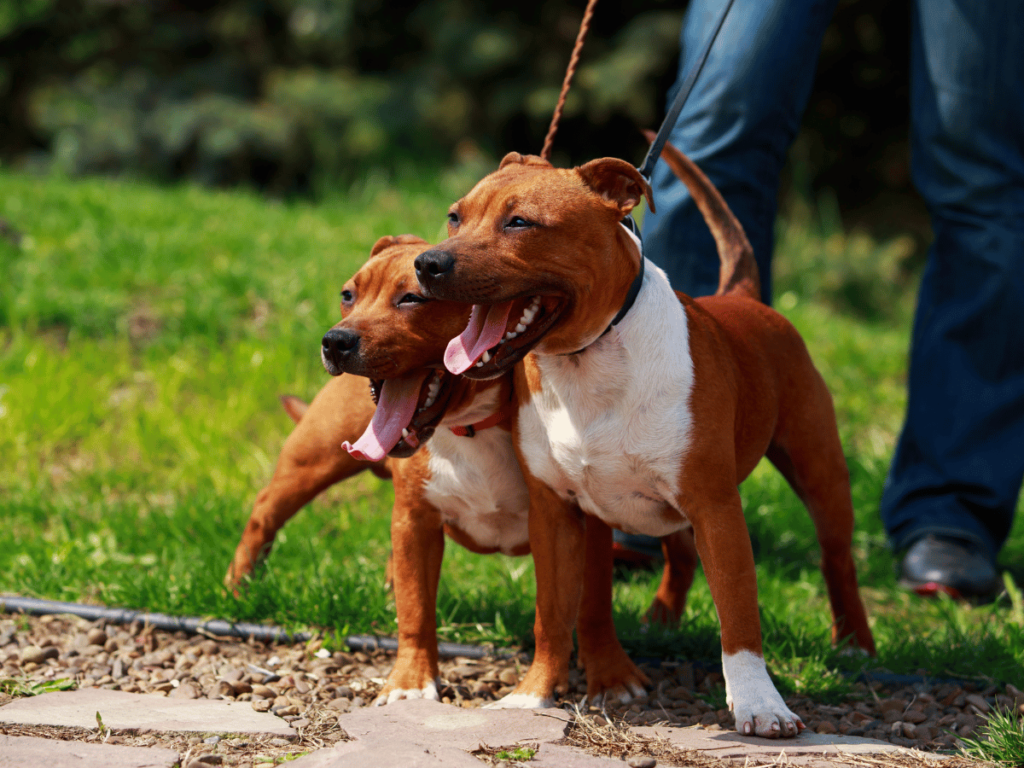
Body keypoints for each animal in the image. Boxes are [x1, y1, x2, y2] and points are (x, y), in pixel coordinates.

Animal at [411, 141, 876, 737]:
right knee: (680, 552)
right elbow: (551, 612)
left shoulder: (717, 507)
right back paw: (661, 619)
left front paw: (760, 706)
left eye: (520, 223)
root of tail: (742, 296)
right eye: (455, 216)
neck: (587, 360)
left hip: (819, 470)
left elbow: (738, 615)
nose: (429, 263)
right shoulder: (555, 511)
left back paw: (855, 643)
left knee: (837, 558)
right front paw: (532, 695)